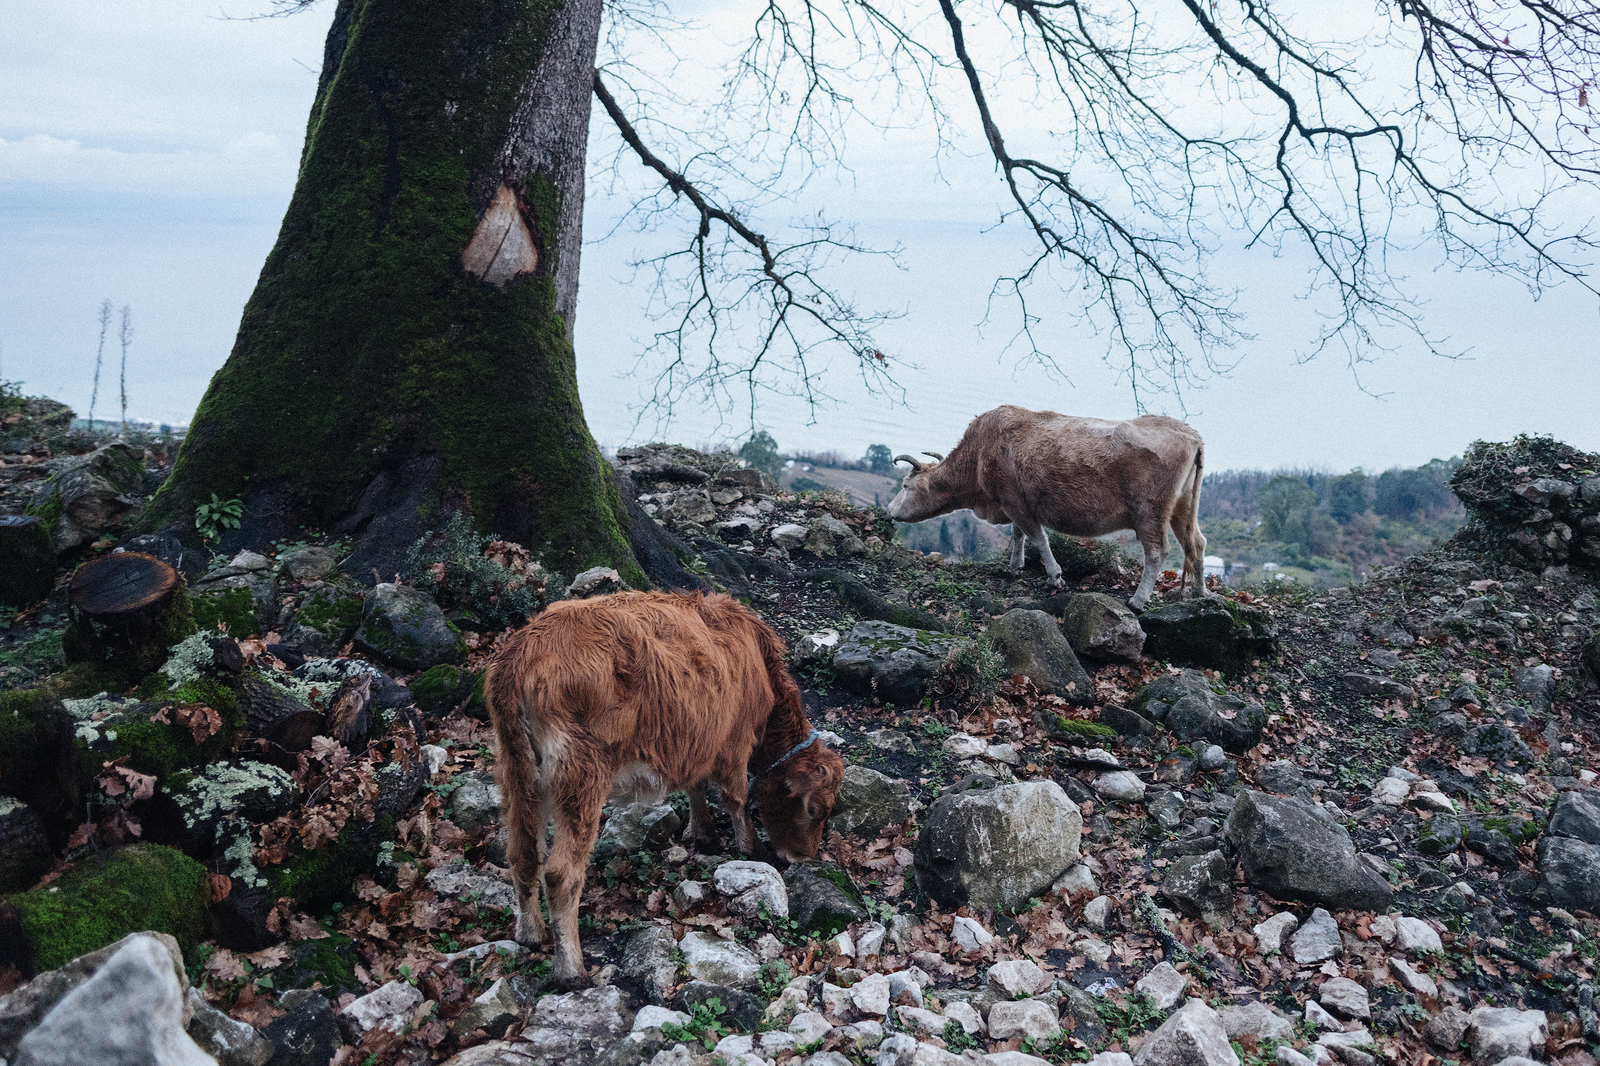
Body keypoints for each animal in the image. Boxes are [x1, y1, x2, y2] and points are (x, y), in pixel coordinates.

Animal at [483, 585, 838, 985]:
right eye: (817, 810)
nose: (804, 857)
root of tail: (523, 648)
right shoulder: (734, 742)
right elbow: (736, 797)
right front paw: (750, 849)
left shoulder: (700, 739)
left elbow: (696, 786)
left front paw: (702, 833)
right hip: (582, 773)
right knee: (561, 873)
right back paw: (571, 969)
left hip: (517, 773)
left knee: (522, 852)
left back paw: (530, 933)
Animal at [889, 403, 1203, 605]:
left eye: (905, 486)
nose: (890, 510)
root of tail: (1191, 433)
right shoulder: (1012, 503)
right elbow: (1018, 534)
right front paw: (1016, 565)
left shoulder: (1015, 500)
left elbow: (1037, 537)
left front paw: (1054, 576)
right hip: (1182, 508)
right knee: (1196, 543)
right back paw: (1200, 592)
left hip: (1150, 511)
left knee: (1157, 552)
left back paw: (1138, 600)